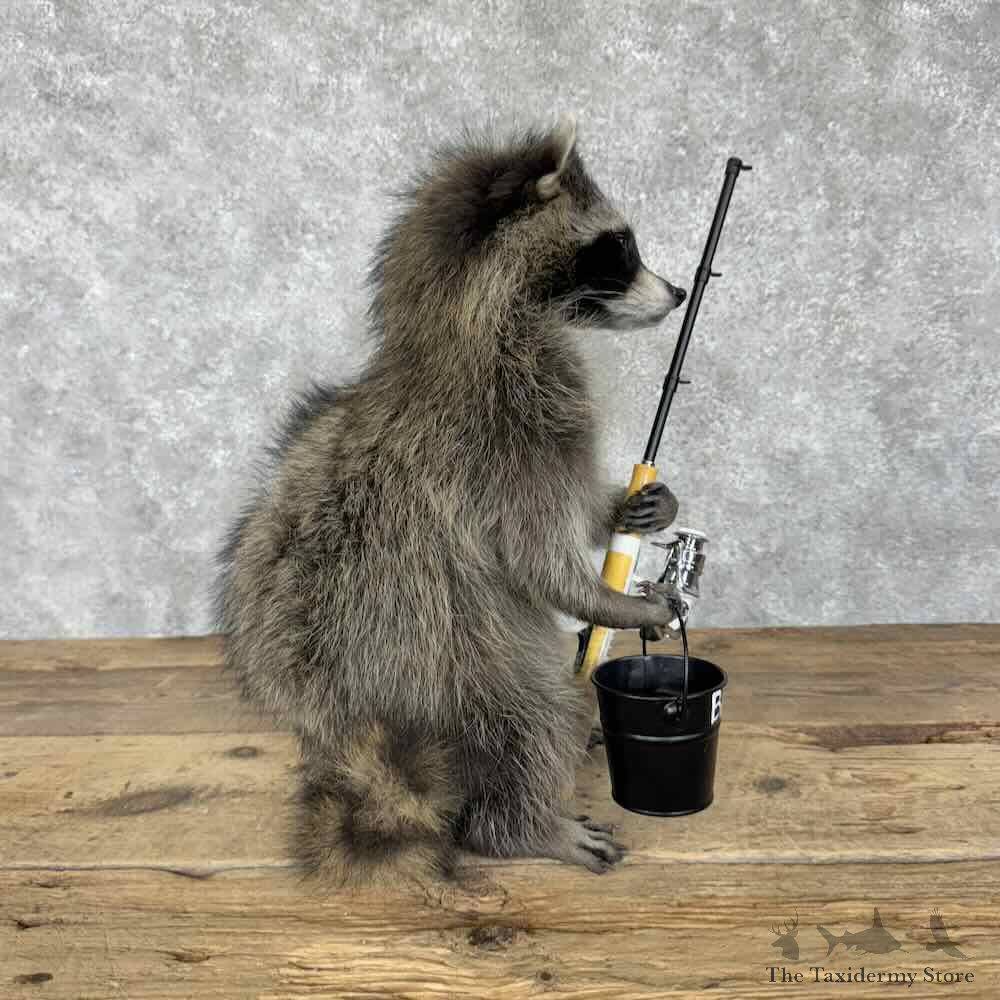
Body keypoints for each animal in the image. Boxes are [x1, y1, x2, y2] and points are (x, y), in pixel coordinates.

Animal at [214, 115, 686, 885]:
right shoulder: (505, 440)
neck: (468, 327)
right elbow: (538, 560)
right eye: (617, 247)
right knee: (533, 716)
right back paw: (523, 821)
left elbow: (577, 515)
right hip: (460, 664)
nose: (677, 292)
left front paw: (629, 506)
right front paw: (615, 603)